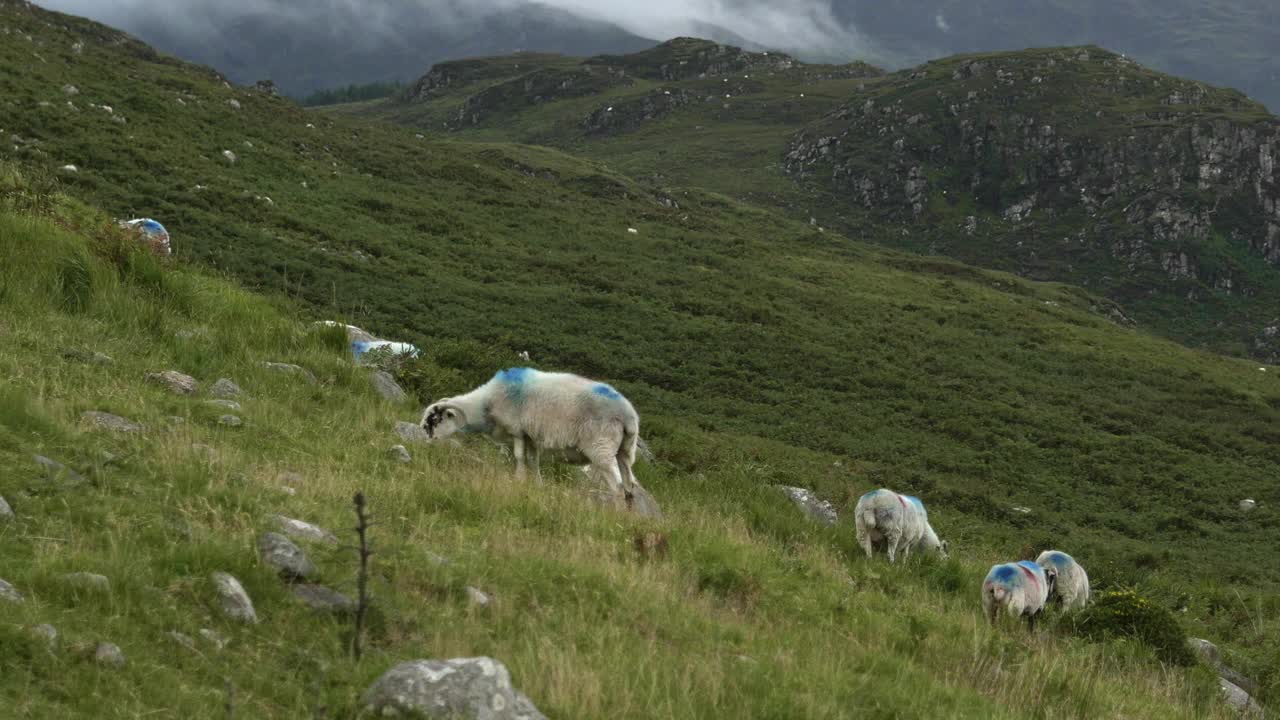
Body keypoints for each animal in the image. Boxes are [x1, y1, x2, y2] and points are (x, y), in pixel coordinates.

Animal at [419, 366, 640, 497]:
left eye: (434, 420)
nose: (425, 443)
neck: (486, 405)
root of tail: (628, 414)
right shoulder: (531, 437)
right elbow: (534, 462)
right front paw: (537, 485)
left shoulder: (517, 431)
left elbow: (519, 457)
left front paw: (518, 479)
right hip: (625, 450)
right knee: (629, 486)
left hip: (600, 446)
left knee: (618, 487)